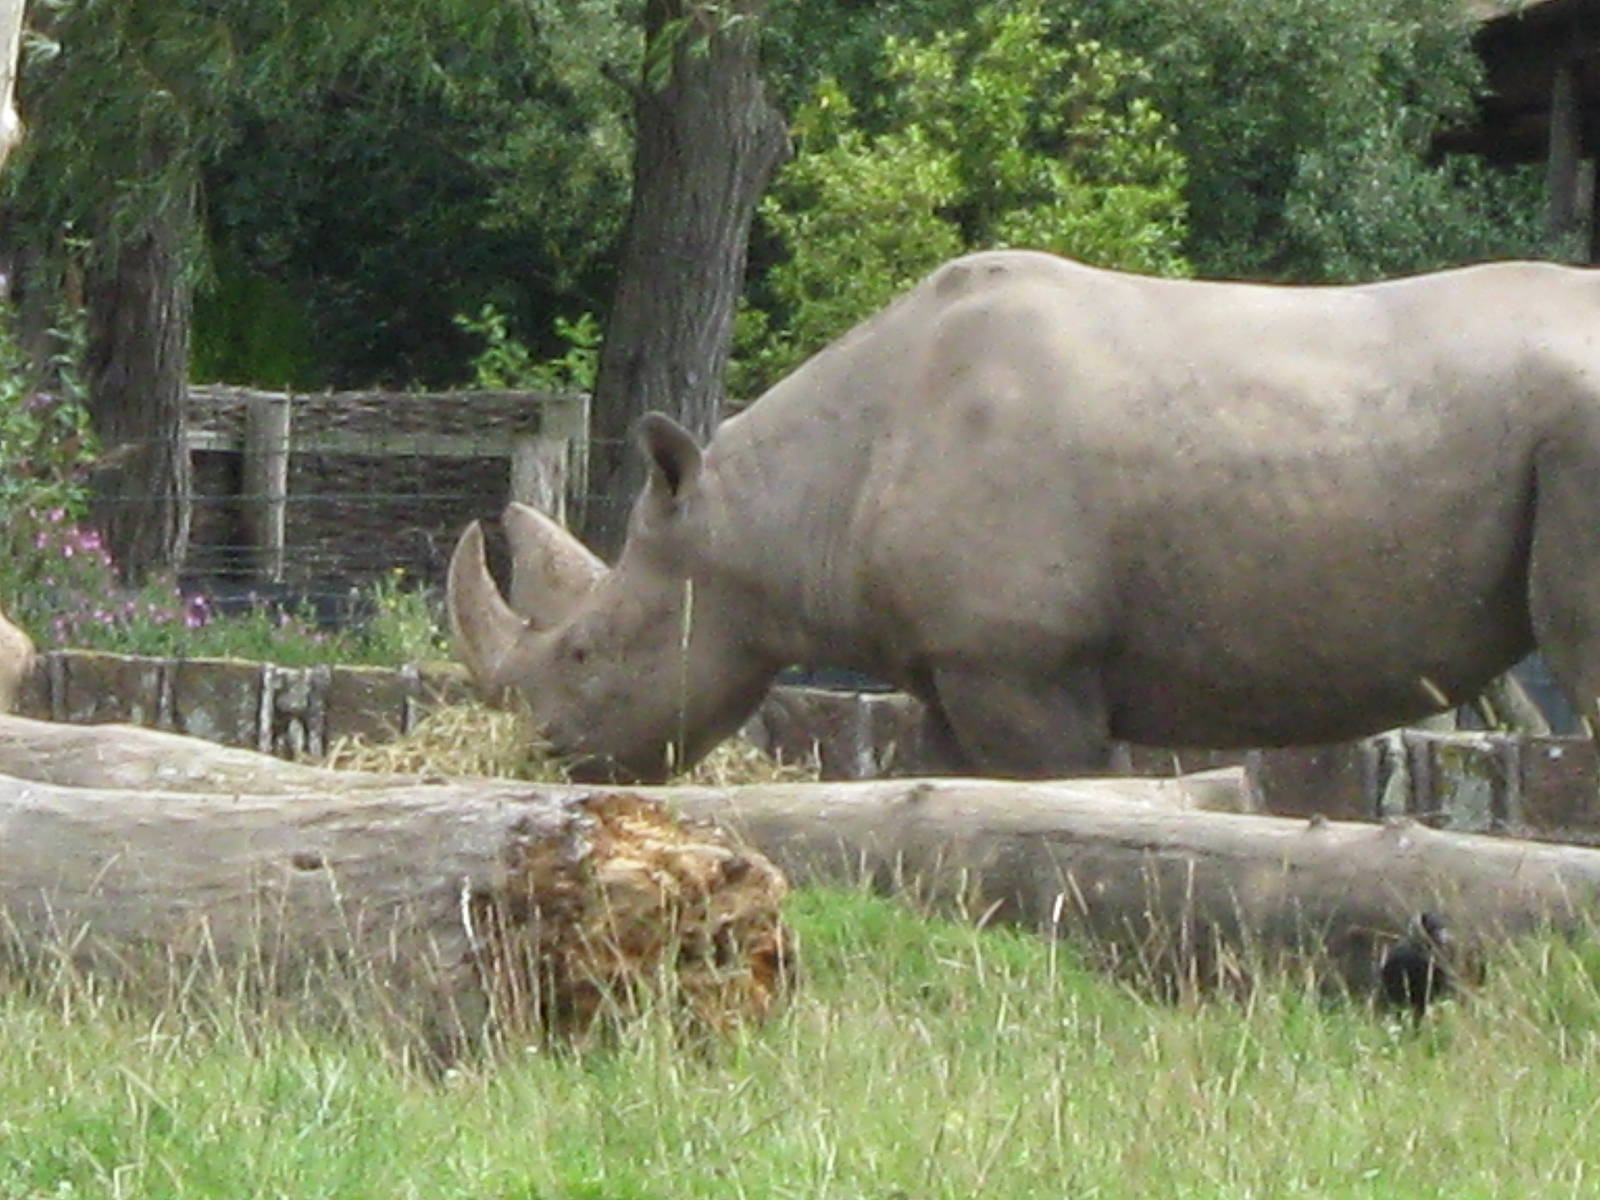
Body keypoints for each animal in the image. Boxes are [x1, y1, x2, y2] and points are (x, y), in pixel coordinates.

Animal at [448, 248, 1600, 782]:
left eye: (587, 653)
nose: (535, 759)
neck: (771, 508)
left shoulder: (1029, 664)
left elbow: (1059, 789)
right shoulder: (955, 665)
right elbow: (945, 796)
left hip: (1576, 430)